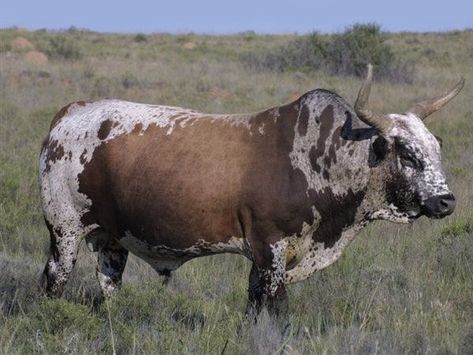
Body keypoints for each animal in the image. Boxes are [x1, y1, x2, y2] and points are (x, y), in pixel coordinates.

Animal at [38, 65, 462, 318]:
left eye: (436, 147)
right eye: (407, 153)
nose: (446, 201)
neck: (318, 159)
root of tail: (70, 112)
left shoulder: (265, 261)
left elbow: (255, 307)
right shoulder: (270, 249)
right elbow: (275, 310)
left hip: (112, 241)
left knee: (109, 287)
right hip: (65, 233)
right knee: (52, 283)